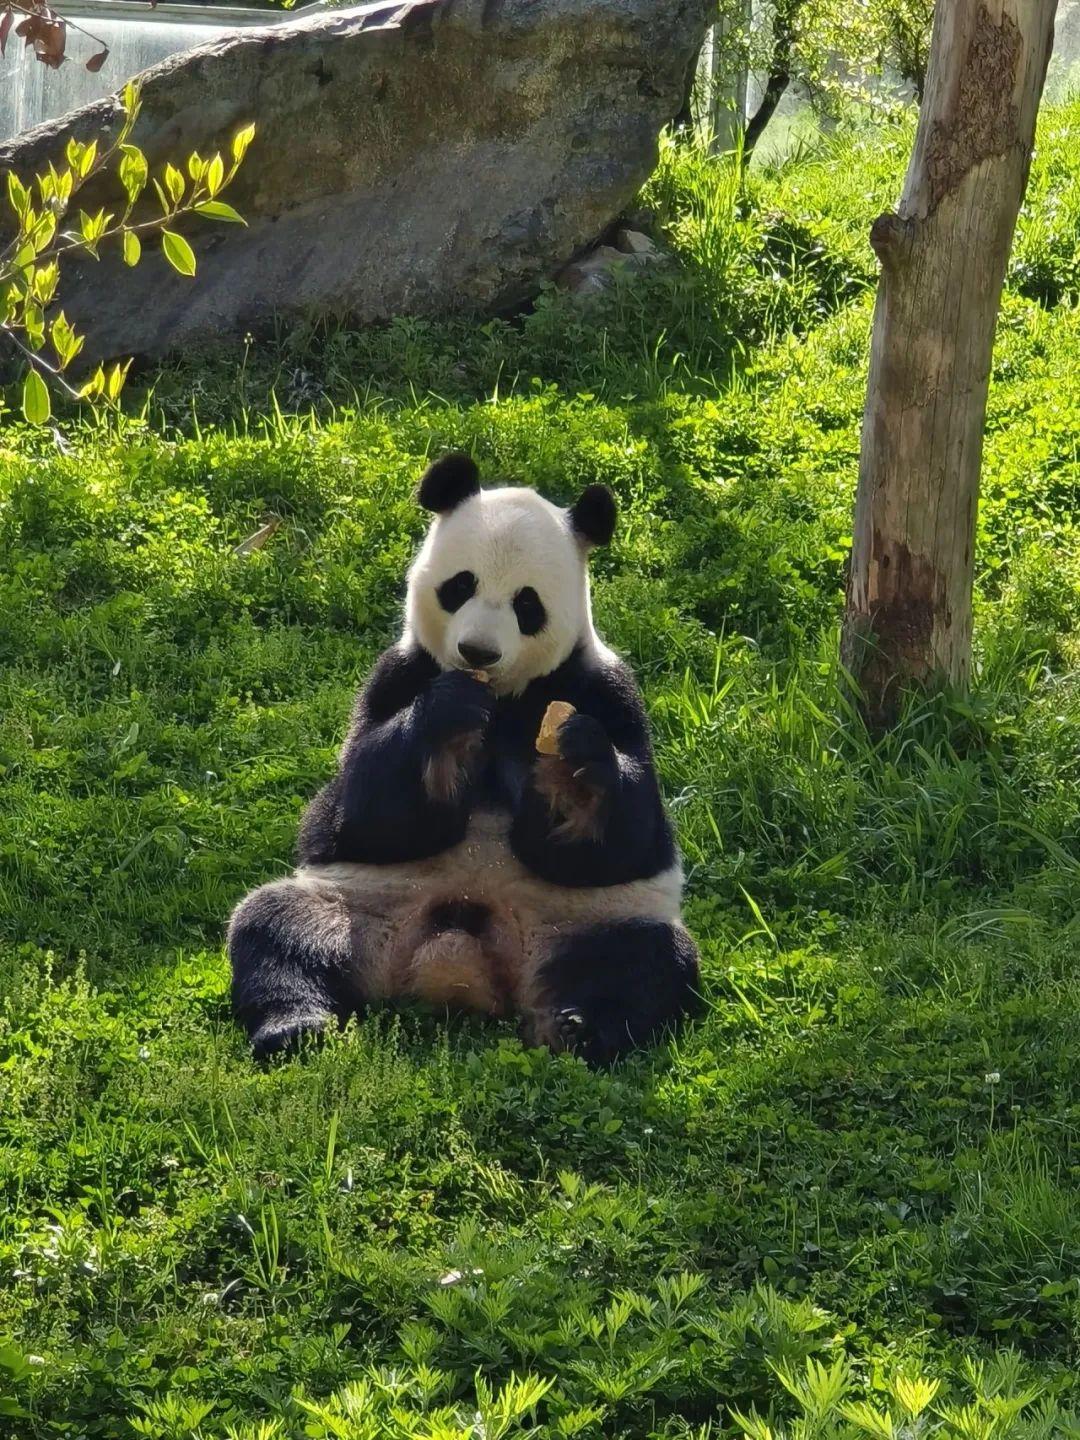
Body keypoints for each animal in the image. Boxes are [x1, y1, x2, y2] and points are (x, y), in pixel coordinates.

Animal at [227, 452, 701, 1064]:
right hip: (356, 910)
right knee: (277, 931)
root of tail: (454, 968)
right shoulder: (396, 675)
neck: (501, 699)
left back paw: (577, 1028)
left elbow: (627, 843)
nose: (478, 651)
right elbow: (362, 814)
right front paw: (449, 725)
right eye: (460, 586)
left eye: (527, 603)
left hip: (584, 924)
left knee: (645, 961)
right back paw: (295, 1025)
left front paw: (570, 773)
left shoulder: (608, 691)